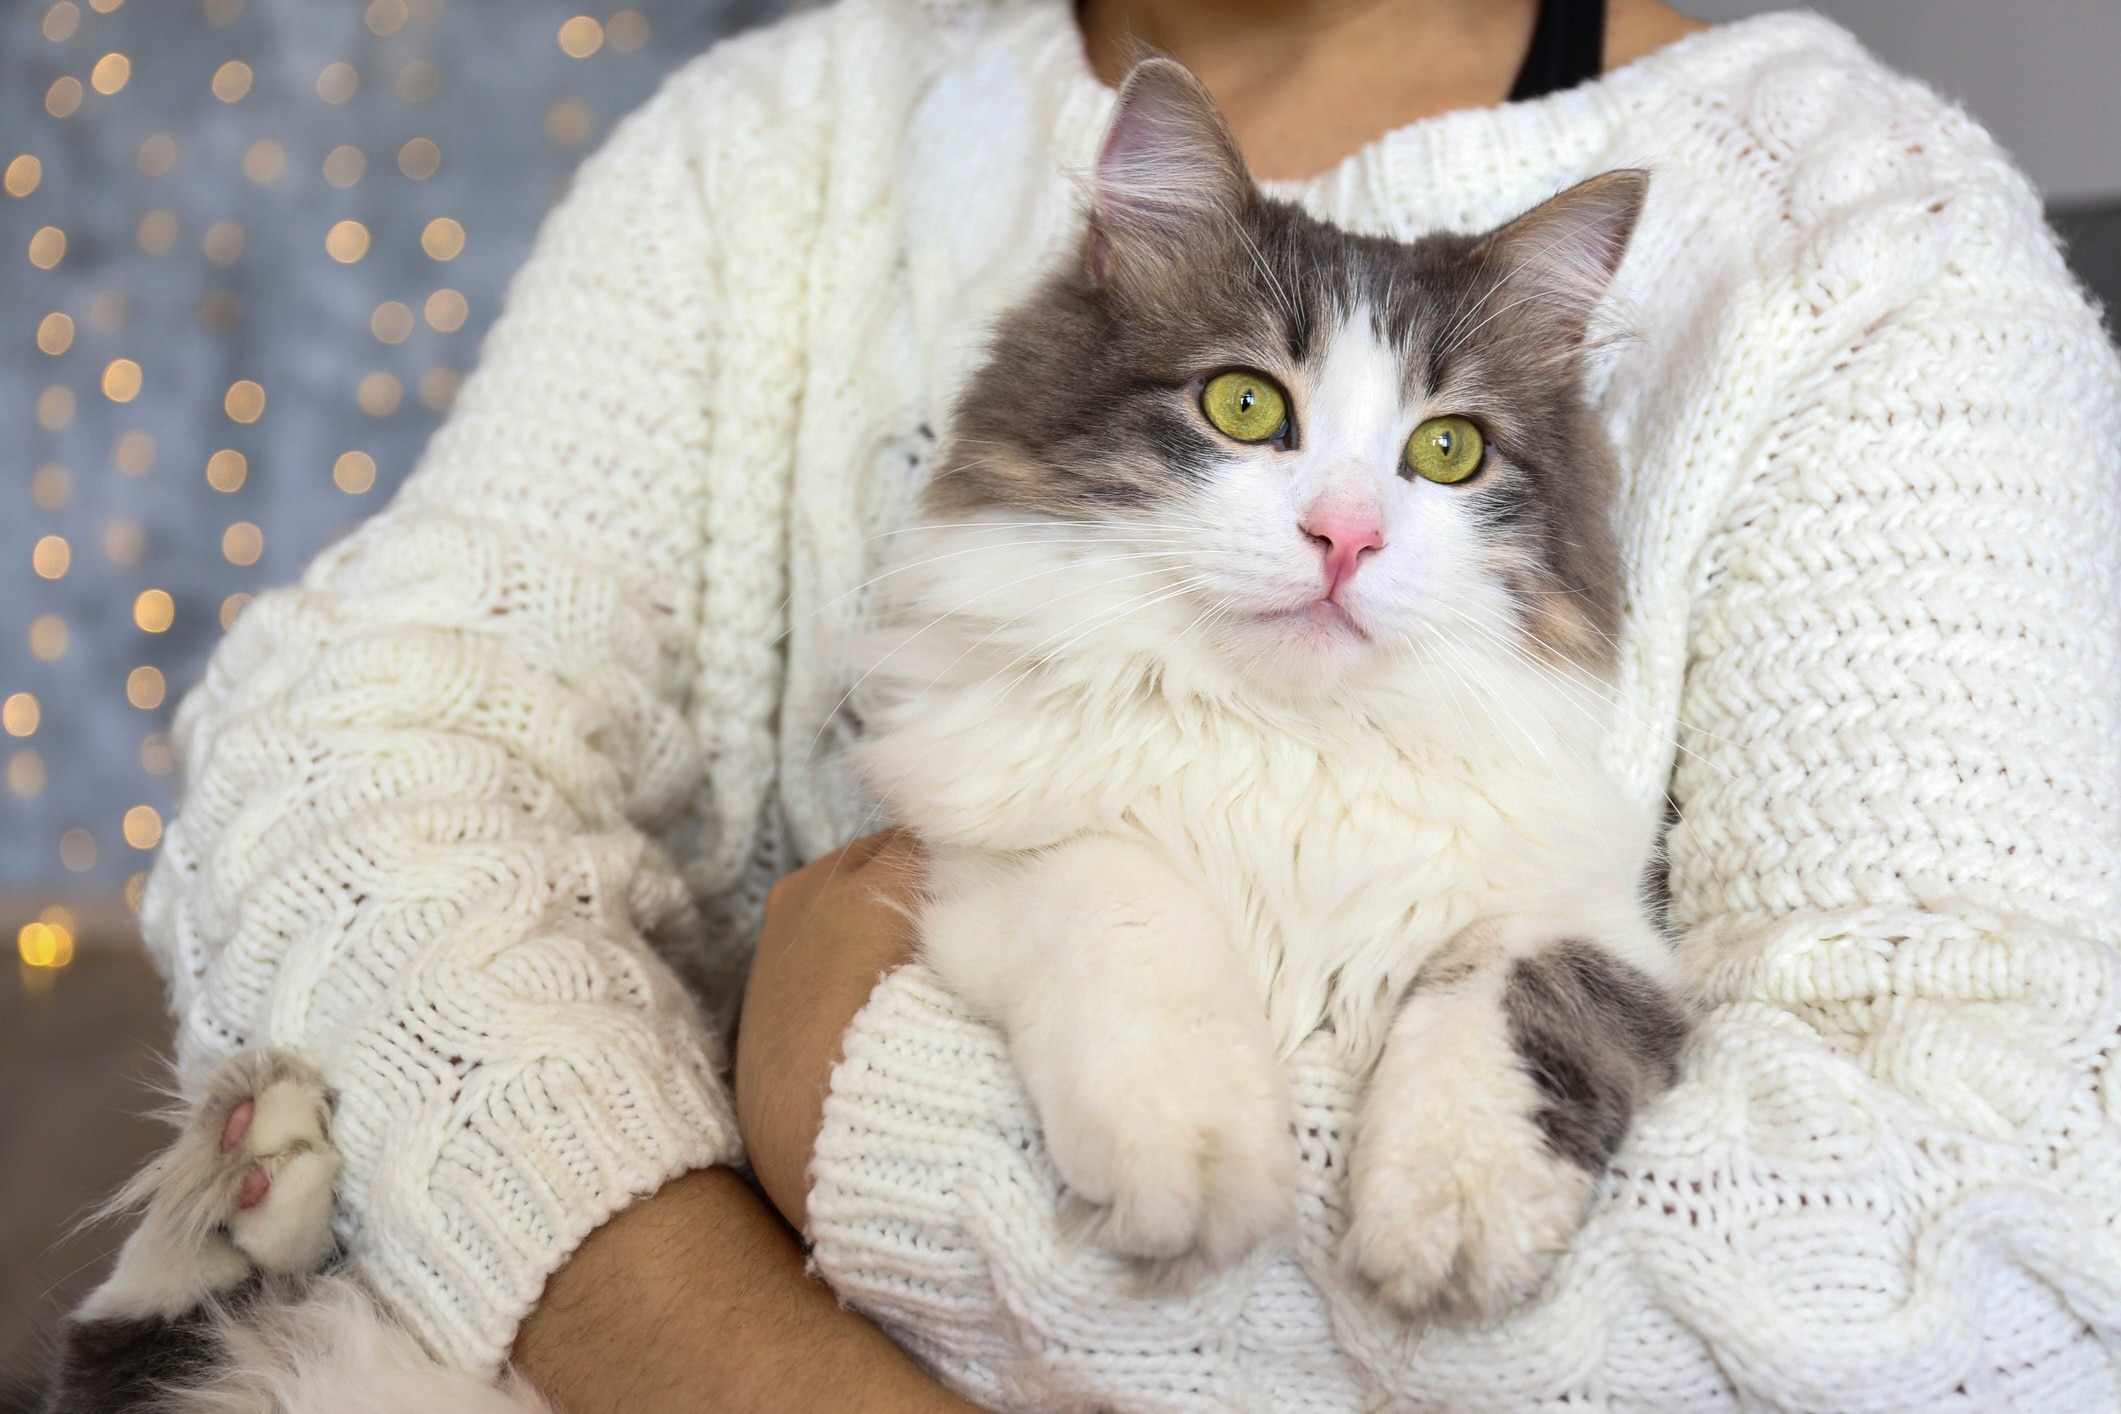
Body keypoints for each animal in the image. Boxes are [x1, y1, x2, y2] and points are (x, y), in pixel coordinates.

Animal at [852, 55, 1696, 1314]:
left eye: (1448, 450)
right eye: (1245, 406)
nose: (1345, 537)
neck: (1289, 741)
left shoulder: (1589, 913)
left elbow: (1511, 999)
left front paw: (1456, 1207)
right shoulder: (996, 853)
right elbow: (1132, 912)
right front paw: (1196, 1161)